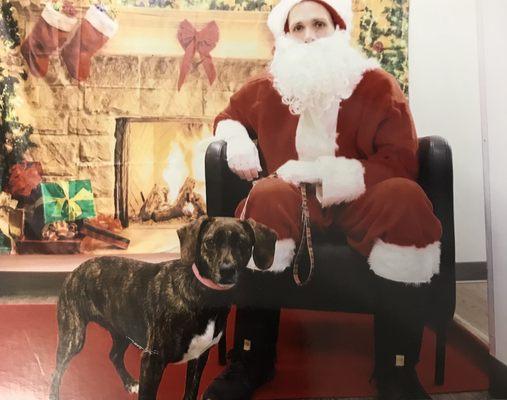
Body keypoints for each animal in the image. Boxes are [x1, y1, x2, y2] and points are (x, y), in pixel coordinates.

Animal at [49, 217, 276, 400]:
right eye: (209, 242)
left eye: (243, 243)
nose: (227, 270)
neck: (203, 294)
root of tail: (75, 271)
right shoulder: (152, 361)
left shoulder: (199, 357)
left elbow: (190, 393)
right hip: (74, 338)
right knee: (57, 371)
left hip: (123, 330)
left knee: (114, 355)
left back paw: (129, 383)